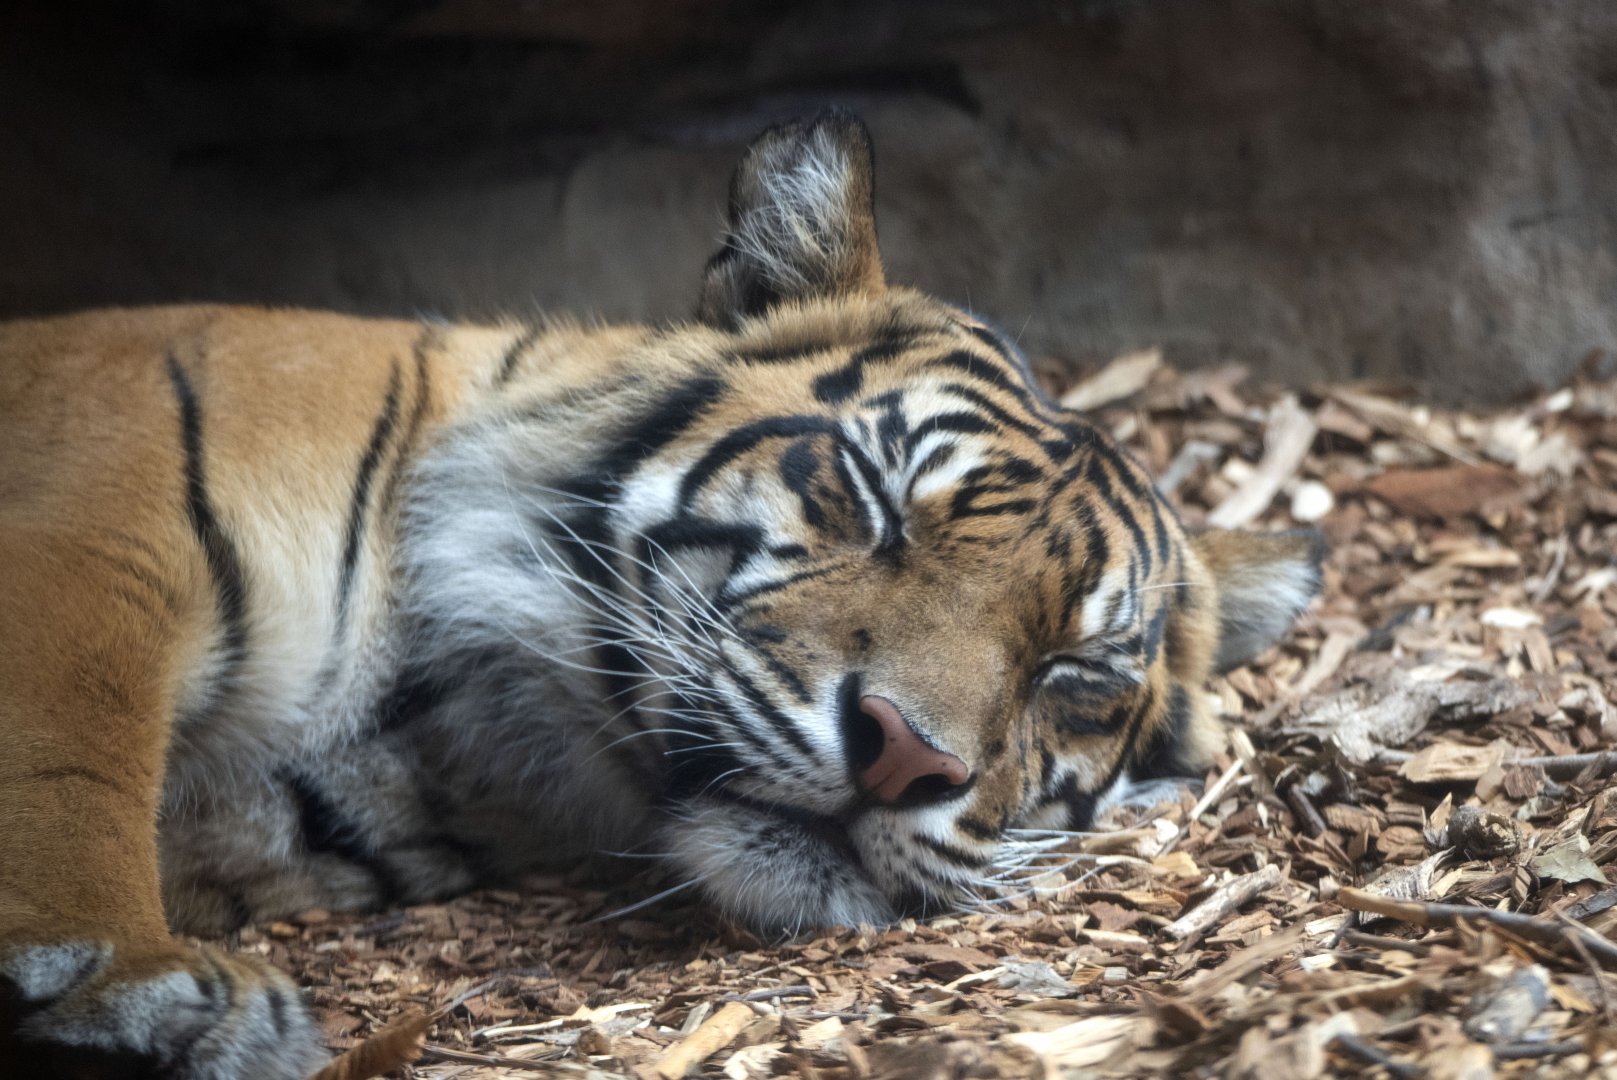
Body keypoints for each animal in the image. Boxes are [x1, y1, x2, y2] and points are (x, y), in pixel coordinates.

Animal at [0, 111, 1321, 1078]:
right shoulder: (98, 531)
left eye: (1074, 673)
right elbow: (69, 760)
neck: (457, 717)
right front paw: (136, 987)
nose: (904, 755)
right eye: (877, 497)